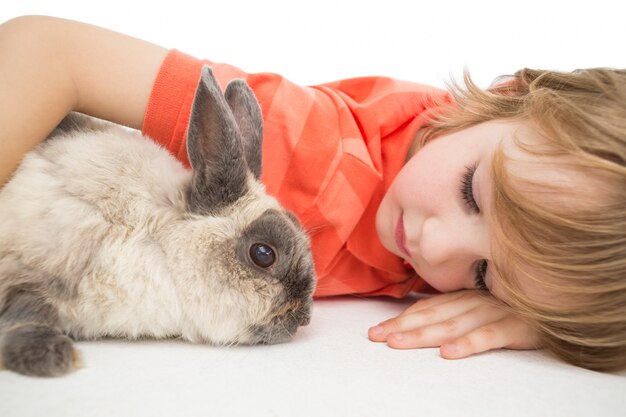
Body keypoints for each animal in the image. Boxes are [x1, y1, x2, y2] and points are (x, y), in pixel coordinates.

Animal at [0, 66, 314, 376]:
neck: (159, 244)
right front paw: (53, 358)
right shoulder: (33, 266)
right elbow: (24, 313)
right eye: (263, 254)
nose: (303, 319)